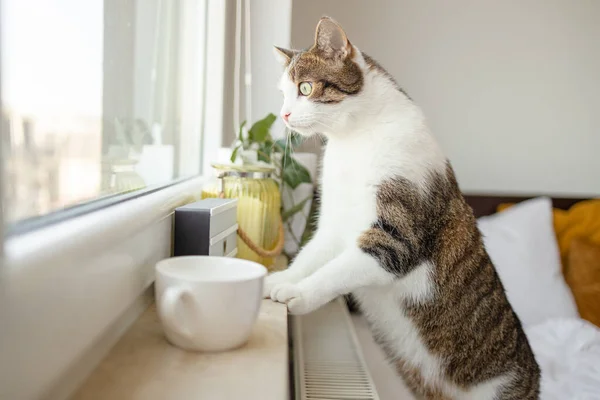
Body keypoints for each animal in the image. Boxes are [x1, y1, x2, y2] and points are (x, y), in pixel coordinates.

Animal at [264, 16, 540, 400]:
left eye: (305, 88)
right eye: (283, 94)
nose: (285, 114)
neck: (356, 139)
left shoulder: (395, 235)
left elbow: (338, 270)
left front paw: (300, 293)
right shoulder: (334, 223)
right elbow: (312, 254)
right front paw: (283, 278)